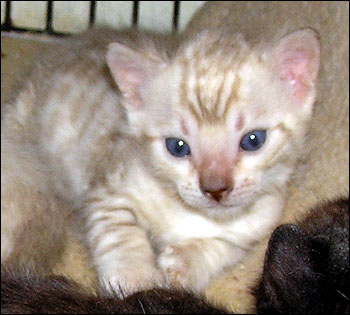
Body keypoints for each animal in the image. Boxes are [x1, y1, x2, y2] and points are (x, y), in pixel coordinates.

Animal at [0, 26, 320, 296]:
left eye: (253, 140)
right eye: (177, 147)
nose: (215, 189)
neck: (186, 211)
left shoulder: (254, 227)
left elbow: (220, 246)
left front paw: (183, 264)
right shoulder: (107, 191)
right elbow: (120, 231)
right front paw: (135, 278)